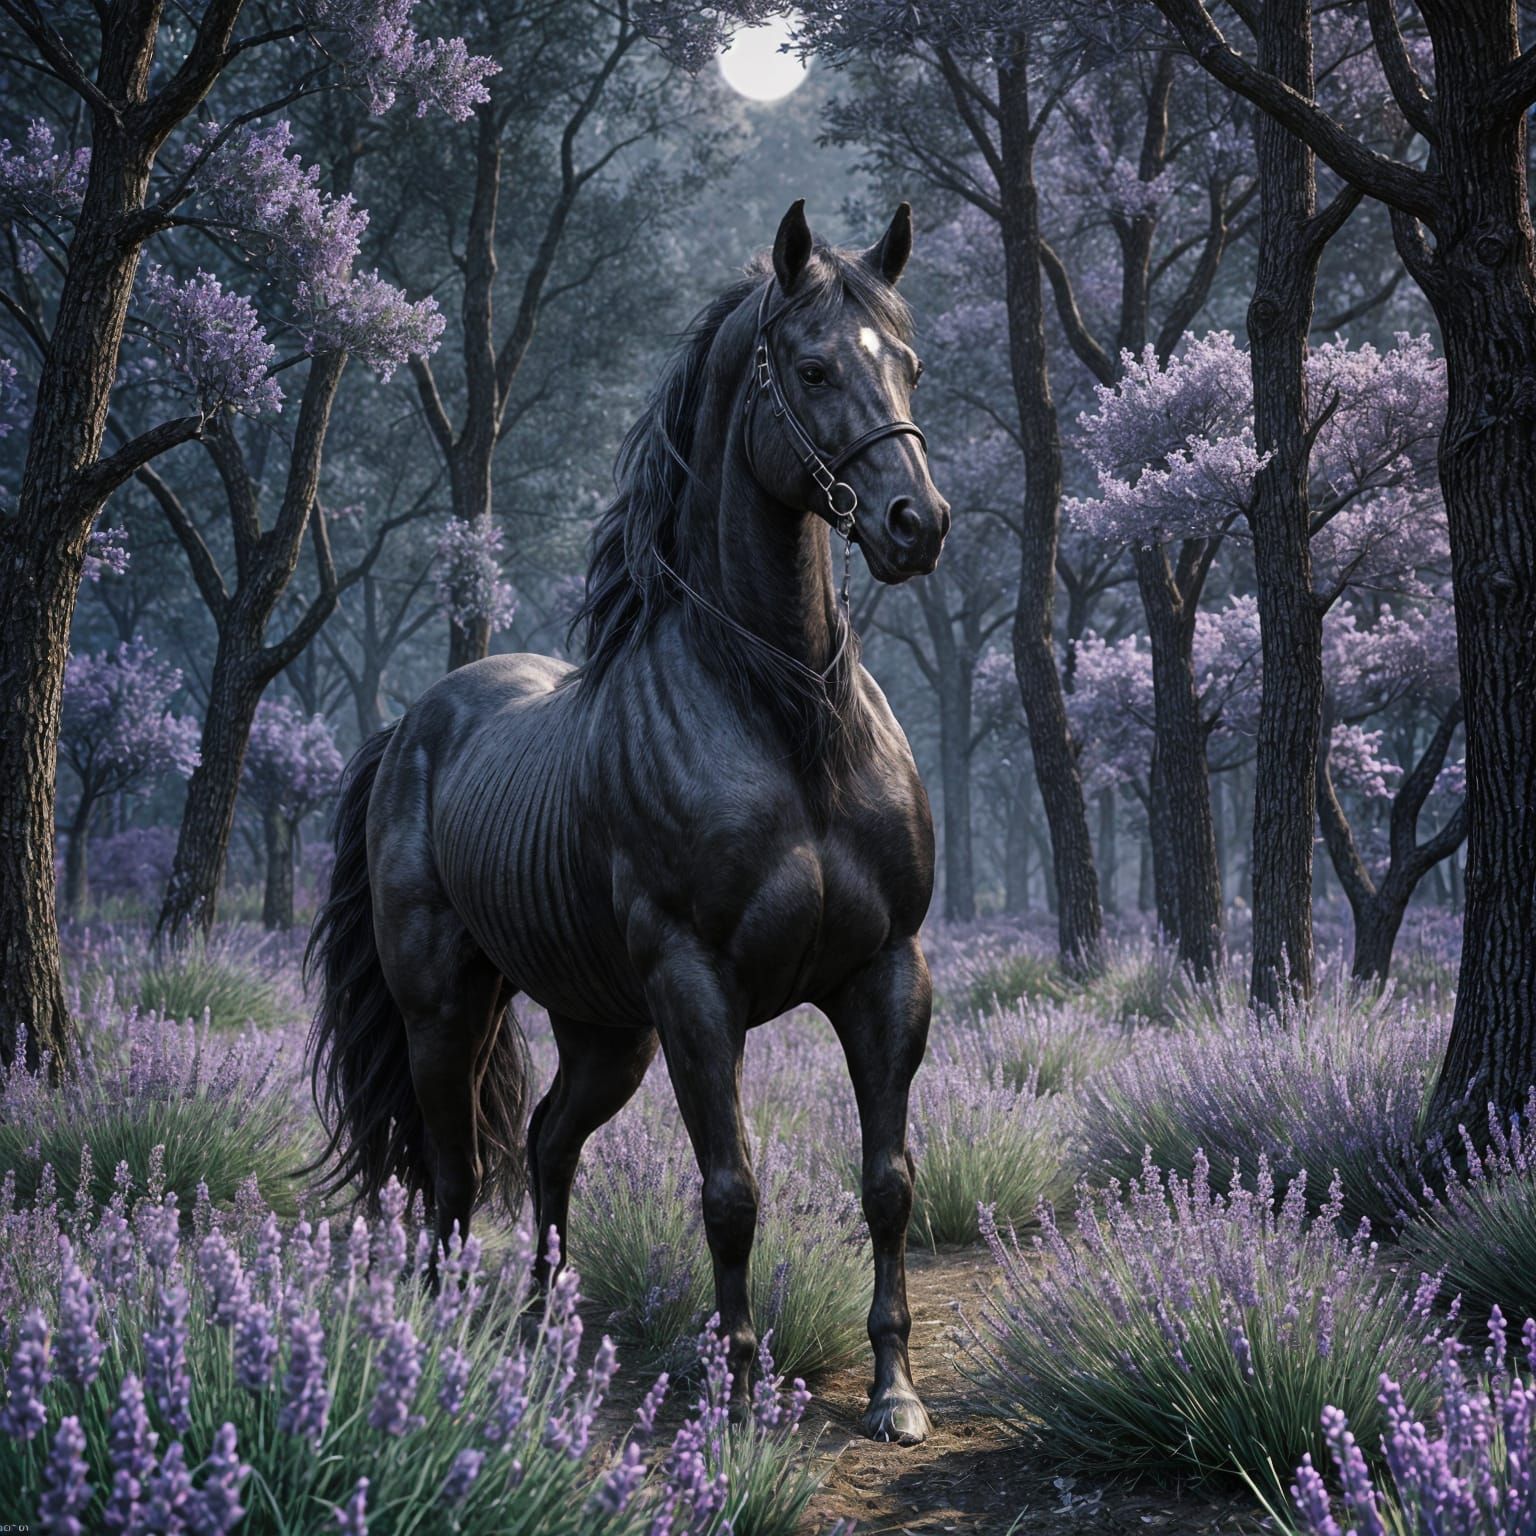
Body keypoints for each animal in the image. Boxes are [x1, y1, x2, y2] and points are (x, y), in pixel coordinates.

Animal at [307, 200, 950, 1444]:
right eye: (811, 368)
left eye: (908, 361)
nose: (918, 523)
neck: (788, 725)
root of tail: (415, 724)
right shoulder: (698, 988)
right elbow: (730, 1192)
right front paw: (737, 1390)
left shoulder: (886, 971)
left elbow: (889, 1183)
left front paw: (895, 1392)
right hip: (449, 1009)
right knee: (453, 1175)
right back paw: (453, 1346)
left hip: (606, 1029)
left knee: (550, 1145)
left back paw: (540, 1333)